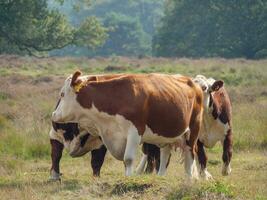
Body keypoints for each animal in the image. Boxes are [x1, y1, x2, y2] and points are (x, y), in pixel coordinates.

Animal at [51, 71, 204, 178]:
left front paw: (129, 178)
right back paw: (161, 176)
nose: (54, 114)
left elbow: (128, 159)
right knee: (165, 153)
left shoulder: (135, 131)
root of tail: (194, 84)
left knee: (190, 154)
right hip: (166, 135)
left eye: (62, 94)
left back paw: (189, 178)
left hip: (193, 131)